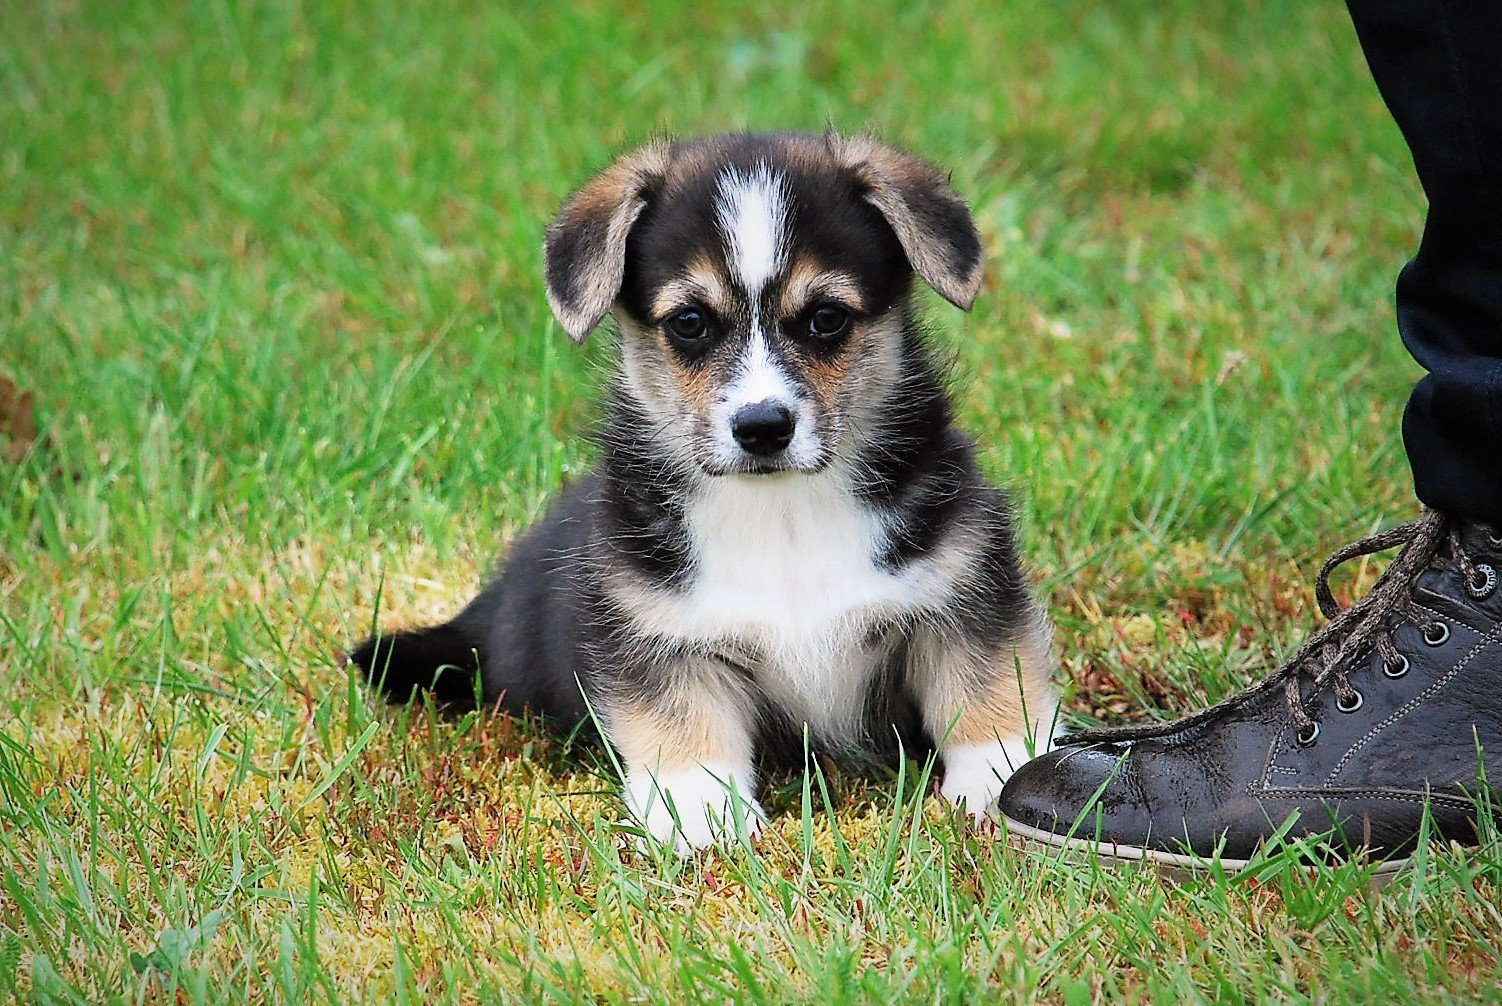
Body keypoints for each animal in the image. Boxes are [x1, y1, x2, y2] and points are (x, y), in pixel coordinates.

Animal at [349, 129, 1057, 852]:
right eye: (690, 322)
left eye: (827, 318)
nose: (763, 427)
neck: (785, 514)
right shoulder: (655, 628)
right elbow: (683, 726)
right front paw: (700, 816)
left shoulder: (963, 588)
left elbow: (987, 690)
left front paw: (1001, 778)